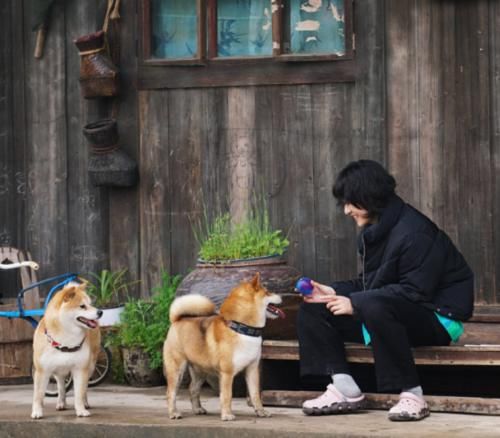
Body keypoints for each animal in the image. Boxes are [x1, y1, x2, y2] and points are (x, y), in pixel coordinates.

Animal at [31, 282, 101, 420]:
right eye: (82, 306)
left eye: (90, 304)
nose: (100, 312)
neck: (65, 342)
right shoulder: (42, 371)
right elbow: (38, 395)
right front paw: (36, 412)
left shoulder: (80, 369)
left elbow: (79, 393)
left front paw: (81, 410)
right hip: (58, 371)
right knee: (61, 387)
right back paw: (61, 403)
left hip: (90, 367)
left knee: (84, 389)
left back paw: (85, 403)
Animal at [162, 274, 284, 420]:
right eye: (267, 292)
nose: (282, 295)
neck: (241, 329)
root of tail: (176, 320)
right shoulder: (227, 373)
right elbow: (227, 395)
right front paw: (227, 414)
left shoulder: (252, 370)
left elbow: (255, 395)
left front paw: (261, 411)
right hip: (177, 370)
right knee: (171, 393)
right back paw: (173, 413)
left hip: (200, 371)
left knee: (193, 389)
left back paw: (198, 409)